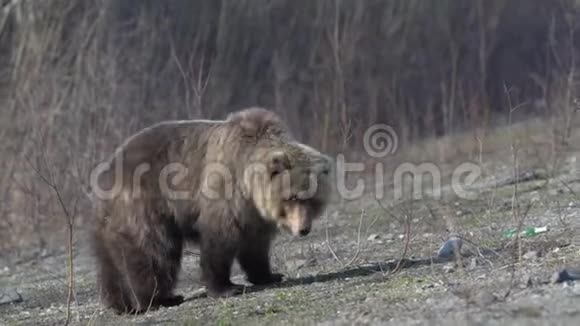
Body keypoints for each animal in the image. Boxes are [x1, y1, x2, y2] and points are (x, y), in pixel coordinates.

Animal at [92, 107, 336, 314]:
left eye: (314, 200)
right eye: (292, 197)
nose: (303, 229)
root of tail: (108, 170)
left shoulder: (253, 214)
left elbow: (255, 245)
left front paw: (269, 274)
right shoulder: (225, 190)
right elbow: (220, 240)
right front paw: (226, 287)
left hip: (110, 221)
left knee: (110, 260)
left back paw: (120, 303)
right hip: (146, 200)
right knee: (154, 249)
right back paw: (159, 298)